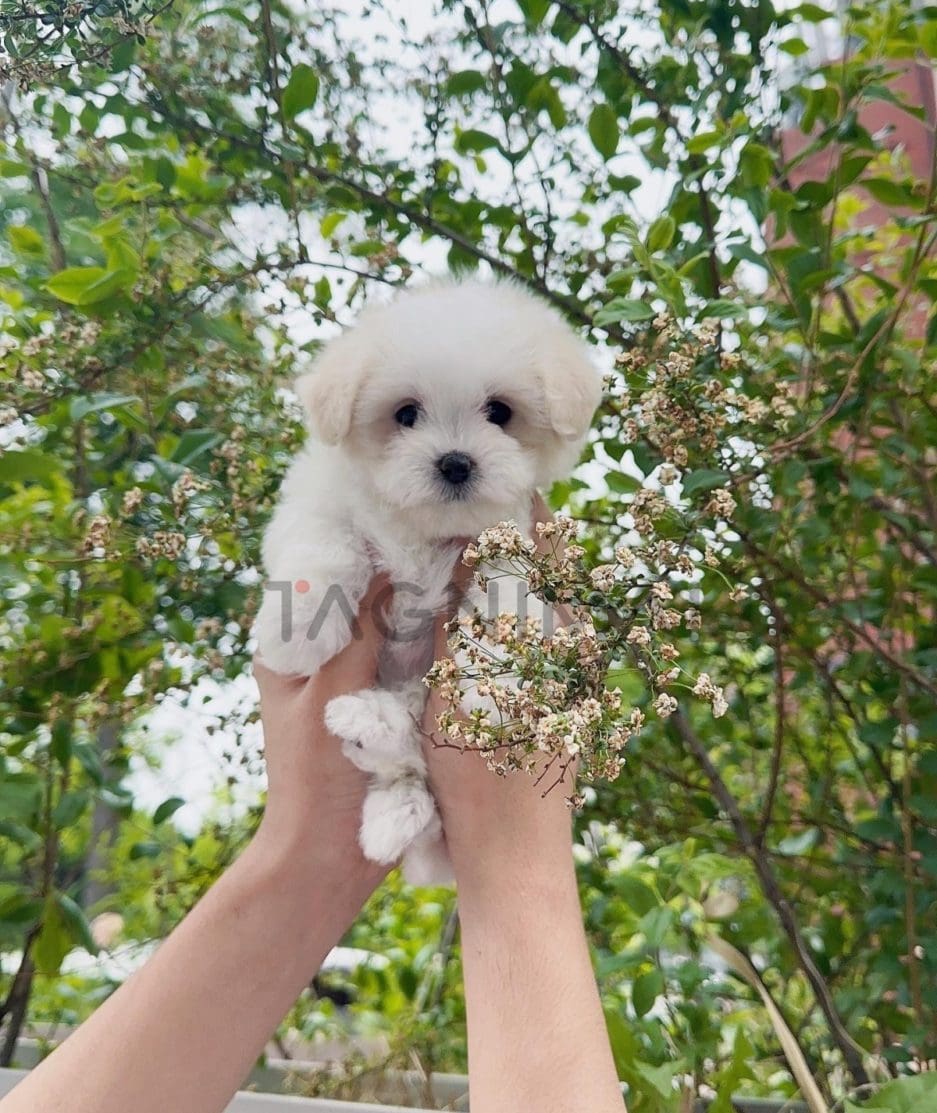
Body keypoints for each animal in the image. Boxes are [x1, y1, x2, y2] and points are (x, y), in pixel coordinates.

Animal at [253, 273, 600, 881]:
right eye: (406, 414)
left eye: (500, 412)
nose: (455, 463)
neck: (423, 527)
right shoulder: (321, 499)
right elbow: (326, 544)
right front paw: (298, 629)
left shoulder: (508, 540)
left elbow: (504, 595)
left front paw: (497, 681)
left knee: (409, 753)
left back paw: (378, 753)